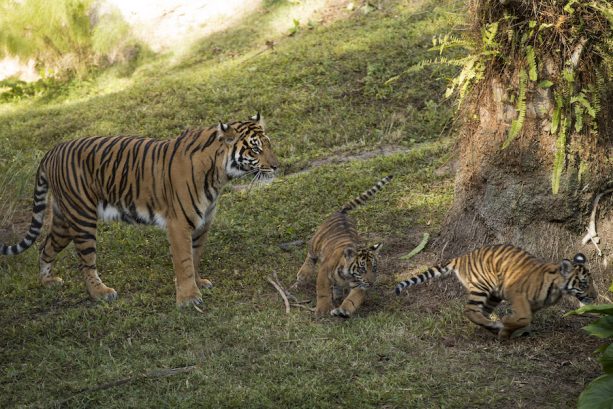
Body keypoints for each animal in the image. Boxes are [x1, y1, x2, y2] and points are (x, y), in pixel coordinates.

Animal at [1, 112, 278, 306]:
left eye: (268, 144)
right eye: (255, 148)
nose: (276, 166)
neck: (219, 175)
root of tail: (51, 151)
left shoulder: (203, 224)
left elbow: (195, 257)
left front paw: (197, 283)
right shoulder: (179, 224)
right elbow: (184, 260)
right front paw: (188, 298)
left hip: (63, 220)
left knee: (45, 247)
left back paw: (47, 282)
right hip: (82, 219)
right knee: (86, 263)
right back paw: (100, 293)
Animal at [296, 174, 392, 318]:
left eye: (374, 268)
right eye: (362, 269)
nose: (370, 283)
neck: (348, 276)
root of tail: (341, 212)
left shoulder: (359, 285)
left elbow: (352, 300)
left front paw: (343, 310)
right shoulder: (324, 271)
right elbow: (323, 291)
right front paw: (323, 309)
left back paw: (338, 295)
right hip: (316, 243)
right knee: (310, 256)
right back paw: (303, 274)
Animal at [394, 244, 596, 340]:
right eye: (584, 283)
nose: (595, 297)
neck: (557, 288)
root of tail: (462, 257)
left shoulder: (533, 305)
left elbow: (525, 319)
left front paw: (509, 330)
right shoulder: (517, 294)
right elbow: (524, 318)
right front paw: (506, 326)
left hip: (493, 295)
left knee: (480, 313)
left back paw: (491, 326)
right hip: (482, 286)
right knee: (470, 310)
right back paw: (495, 324)